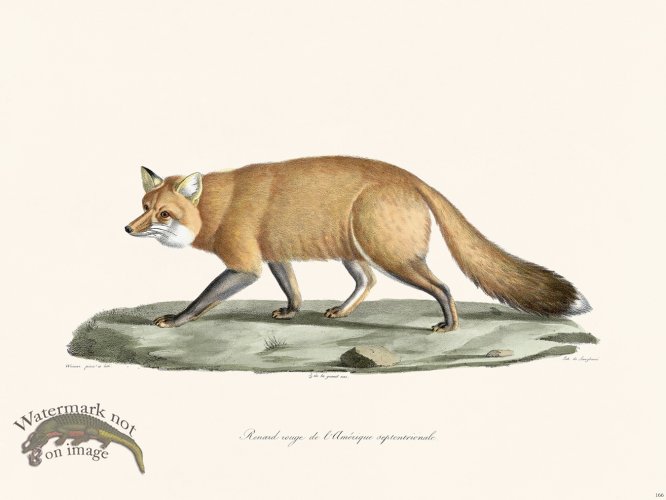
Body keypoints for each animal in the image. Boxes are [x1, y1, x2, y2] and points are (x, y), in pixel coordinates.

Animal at [125, 156, 590, 332]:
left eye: (163, 214)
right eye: (144, 206)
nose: (128, 229)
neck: (219, 207)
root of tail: (411, 177)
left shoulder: (244, 264)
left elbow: (204, 298)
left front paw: (177, 319)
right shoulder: (274, 255)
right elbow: (293, 289)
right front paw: (292, 312)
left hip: (393, 256)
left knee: (442, 287)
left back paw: (450, 325)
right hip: (356, 253)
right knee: (367, 282)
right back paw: (342, 312)